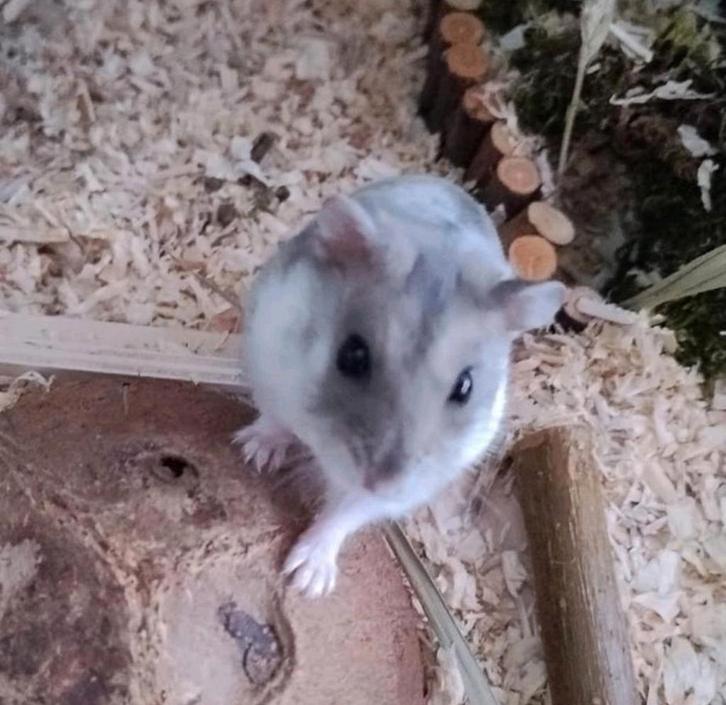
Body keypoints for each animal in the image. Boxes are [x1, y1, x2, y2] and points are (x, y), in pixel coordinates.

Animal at [234, 174, 565, 597]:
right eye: (352, 355)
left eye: (465, 387)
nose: (380, 481)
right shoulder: (269, 362)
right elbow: (275, 419)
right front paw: (254, 454)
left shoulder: (406, 488)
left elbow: (343, 514)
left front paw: (307, 581)